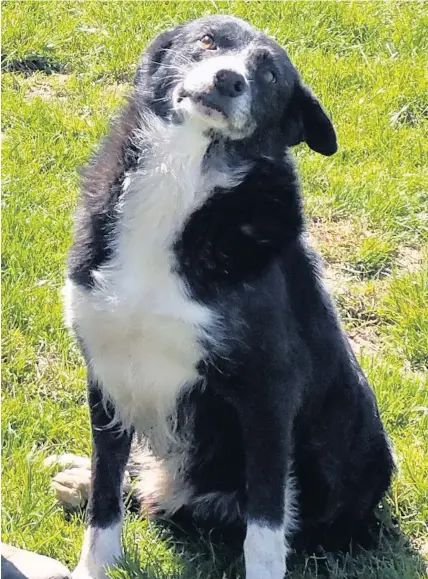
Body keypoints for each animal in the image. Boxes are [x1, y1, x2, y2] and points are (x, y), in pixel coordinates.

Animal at [61, 14, 394, 579]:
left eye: (271, 77)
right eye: (209, 41)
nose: (228, 80)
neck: (182, 178)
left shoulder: (268, 393)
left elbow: (264, 525)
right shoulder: (107, 369)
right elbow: (106, 491)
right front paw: (94, 564)